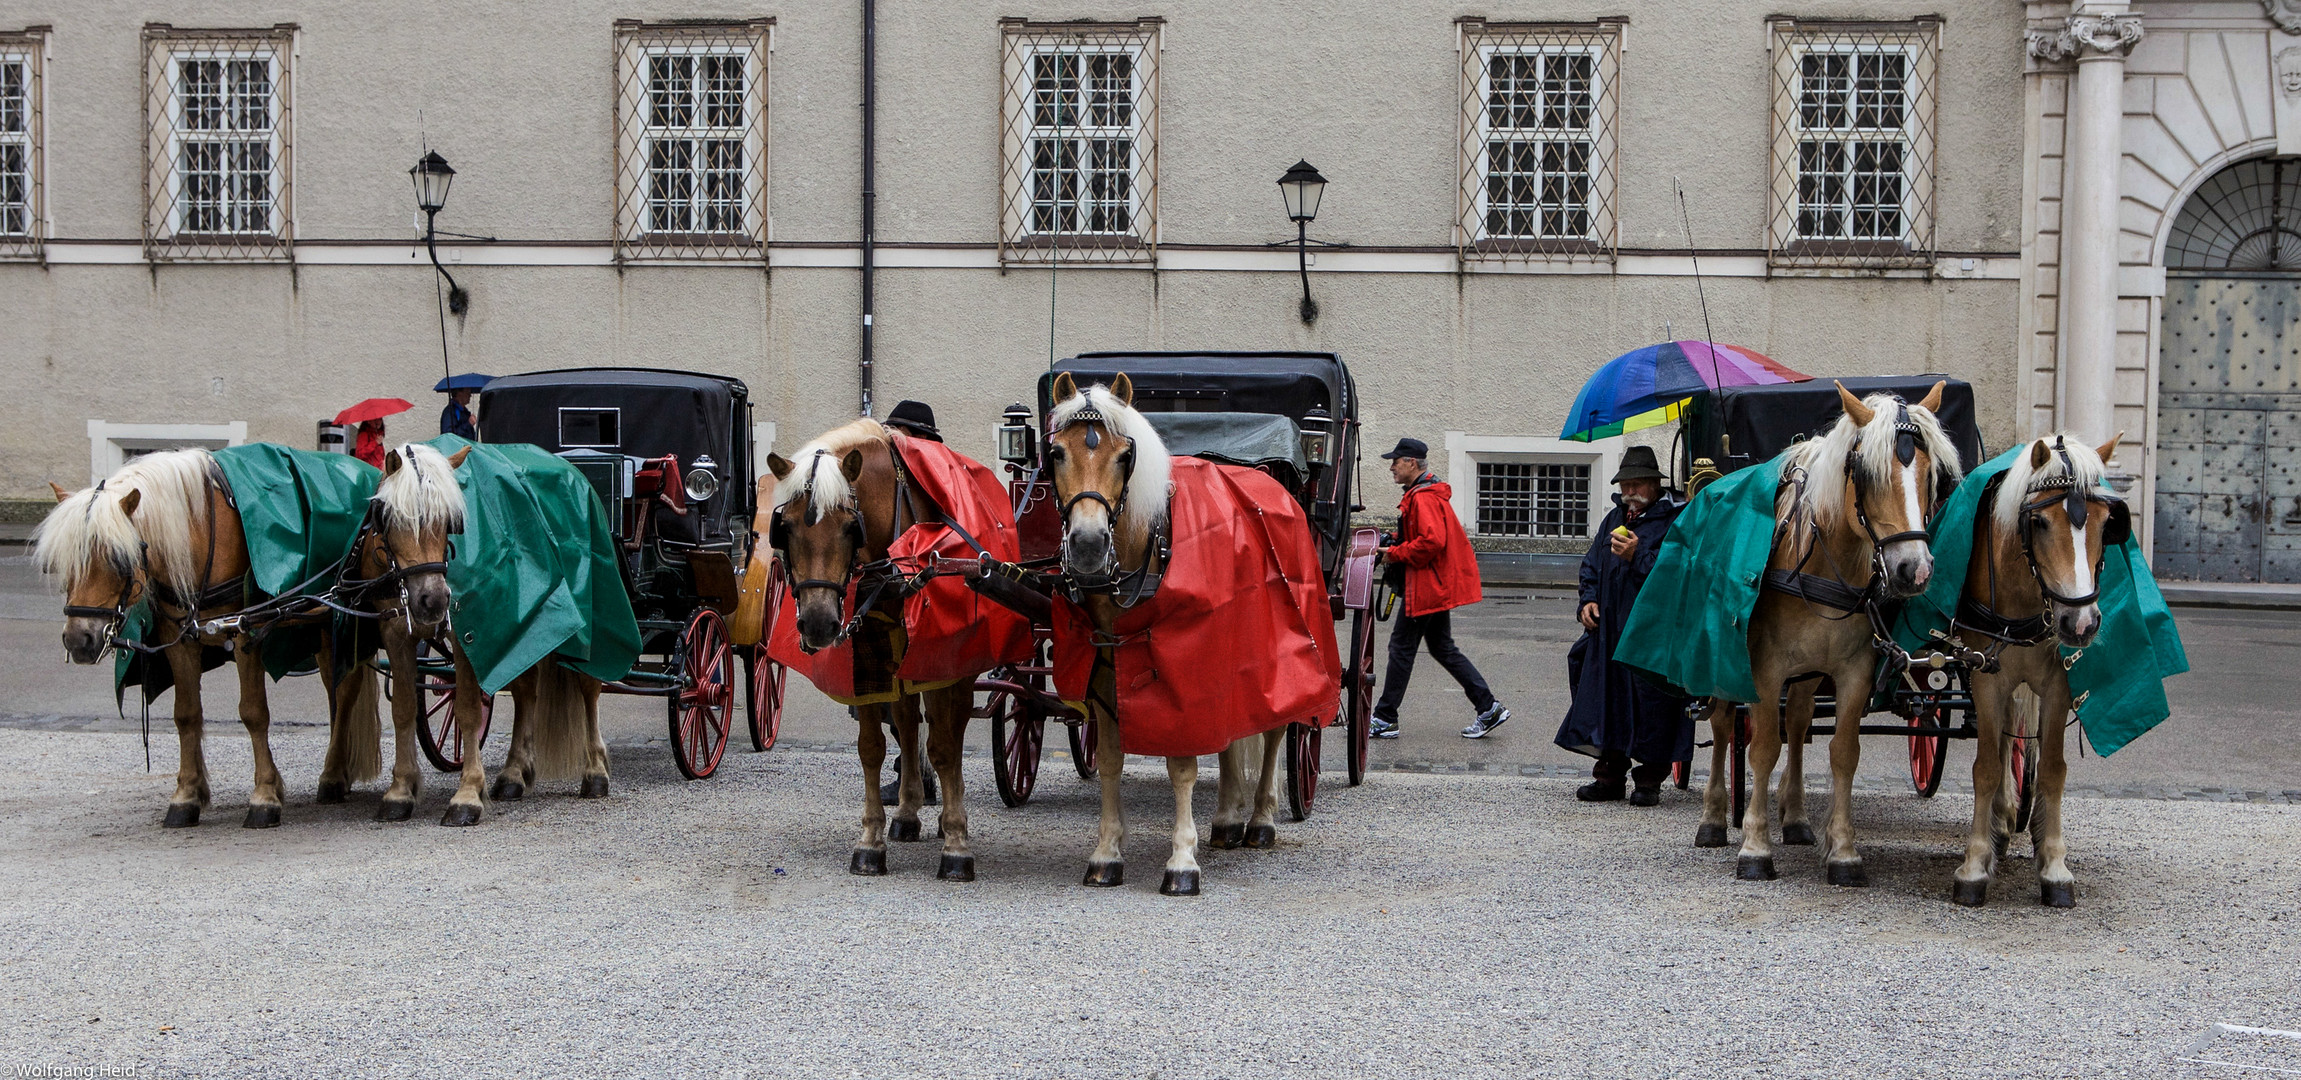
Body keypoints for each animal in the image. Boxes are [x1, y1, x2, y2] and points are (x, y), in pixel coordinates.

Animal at [763, 416, 980, 879]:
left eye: (850, 527)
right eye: (784, 528)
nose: (819, 623)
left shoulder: (937, 659)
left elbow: (943, 746)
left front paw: (956, 844)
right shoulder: (866, 648)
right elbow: (871, 747)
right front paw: (870, 840)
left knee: (951, 728)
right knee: (906, 720)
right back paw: (908, 812)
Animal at [1044, 370, 1297, 893]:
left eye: (1125, 456)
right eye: (1056, 452)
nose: (1088, 544)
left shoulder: (1186, 676)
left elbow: (1182, 766)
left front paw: (1182, 860)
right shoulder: (1104, 677)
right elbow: (1111, 761)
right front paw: (1107, 852)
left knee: (1274, 729)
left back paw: (1261, 818)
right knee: (1230, 736)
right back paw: (1227, 819)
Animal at [1702, 379, 1969, 884]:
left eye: (1932, 476)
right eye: (1866, 474)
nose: (1913, 570)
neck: (1823, 568)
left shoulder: (1854, 672)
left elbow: (1843, 752)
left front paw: (1842, 850)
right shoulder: (1762, 672)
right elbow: (1762, 749)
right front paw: (1754, 846)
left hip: (1808, 674)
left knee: (1798, 720)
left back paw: (1795, 817)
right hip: (1725, 664)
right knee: (1725, 726)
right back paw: (1712, 817)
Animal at [1951, 432, 2126, 907]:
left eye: (2107, 523)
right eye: (2041, 523)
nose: (2081, 623)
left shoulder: (2058, 685)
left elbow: (2051, 770)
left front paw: (2053, 864)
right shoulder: (1984, 677)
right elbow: (1985, 768)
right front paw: (1975, 864)